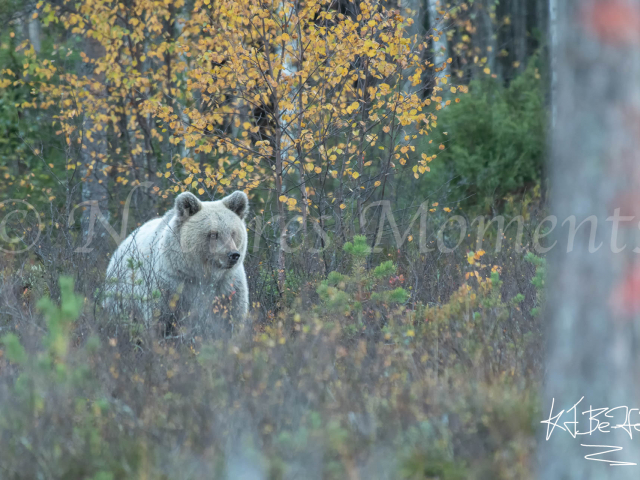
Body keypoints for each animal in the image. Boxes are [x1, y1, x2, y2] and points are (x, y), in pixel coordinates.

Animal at [103, 189, 250, 336]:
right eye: (213, 234)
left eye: (233, 233)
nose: (233, 255)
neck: (203, 274)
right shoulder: (171, 284)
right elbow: (160, 318)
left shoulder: (227, 288)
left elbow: (231, 319)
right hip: (121, 296)